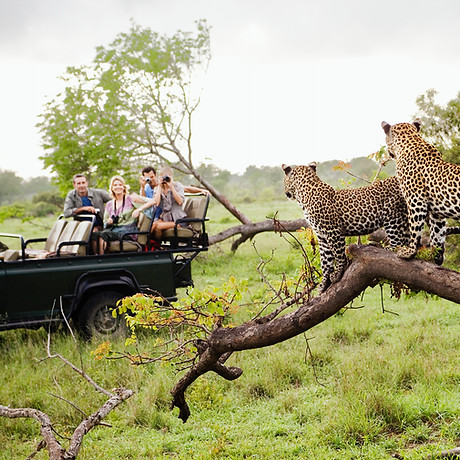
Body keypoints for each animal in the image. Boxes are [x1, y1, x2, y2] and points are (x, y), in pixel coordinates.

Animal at [282, 164, 412, 292]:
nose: (285, 192)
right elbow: (325, 261)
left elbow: (338, 254)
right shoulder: (321, 236)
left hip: (393, 216)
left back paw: (385, 248)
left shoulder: (332, 230)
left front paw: (337, 274)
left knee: (397, 243)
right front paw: (324, 283)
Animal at [380, 120, 460, 260]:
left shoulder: (416, 200)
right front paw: (436, 256)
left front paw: (409, 252)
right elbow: (438, 233)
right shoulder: (436, 212)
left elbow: (415, 228)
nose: (388, 152)